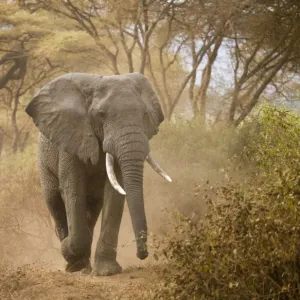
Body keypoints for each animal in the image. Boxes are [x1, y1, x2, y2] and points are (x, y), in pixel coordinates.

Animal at [25, 72, 171, 276]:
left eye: (144, 114)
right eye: (101, 115)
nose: (143, 255)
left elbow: (115, 194)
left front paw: (107, 271)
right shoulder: (71, 141)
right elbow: (73, 191)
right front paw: (68, 251)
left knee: (92, 209)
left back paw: (84, 265)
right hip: (44, 162)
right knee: (54, 202)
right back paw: (74, 263)